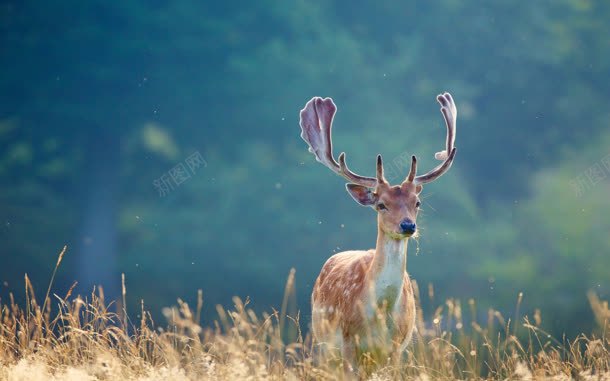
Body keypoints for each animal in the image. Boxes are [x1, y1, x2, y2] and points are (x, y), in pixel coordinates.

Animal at [300, 91, 456, 372]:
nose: (407, 225)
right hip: (323, 344)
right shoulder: (347, 344)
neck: (380, 314)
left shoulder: (396, 349)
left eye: (417, 202)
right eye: (381, 204)